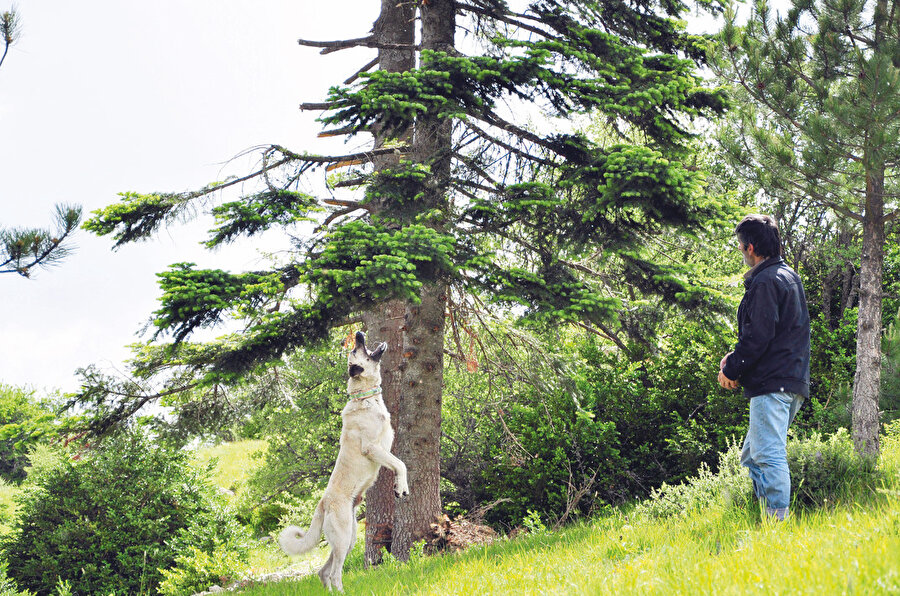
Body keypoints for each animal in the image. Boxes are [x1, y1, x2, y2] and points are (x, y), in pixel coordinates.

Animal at [278, 330, 412, 592]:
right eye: (355, 350)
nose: (359, 333)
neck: (365, 397)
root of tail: (323, 502)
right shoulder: (373, 448)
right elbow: (400, 464)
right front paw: (400, 488)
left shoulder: (386, 446)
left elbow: (398, 461)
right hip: (342, 538)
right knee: (334, 574)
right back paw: (341, 591)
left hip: (348, 538)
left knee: (323, 572)